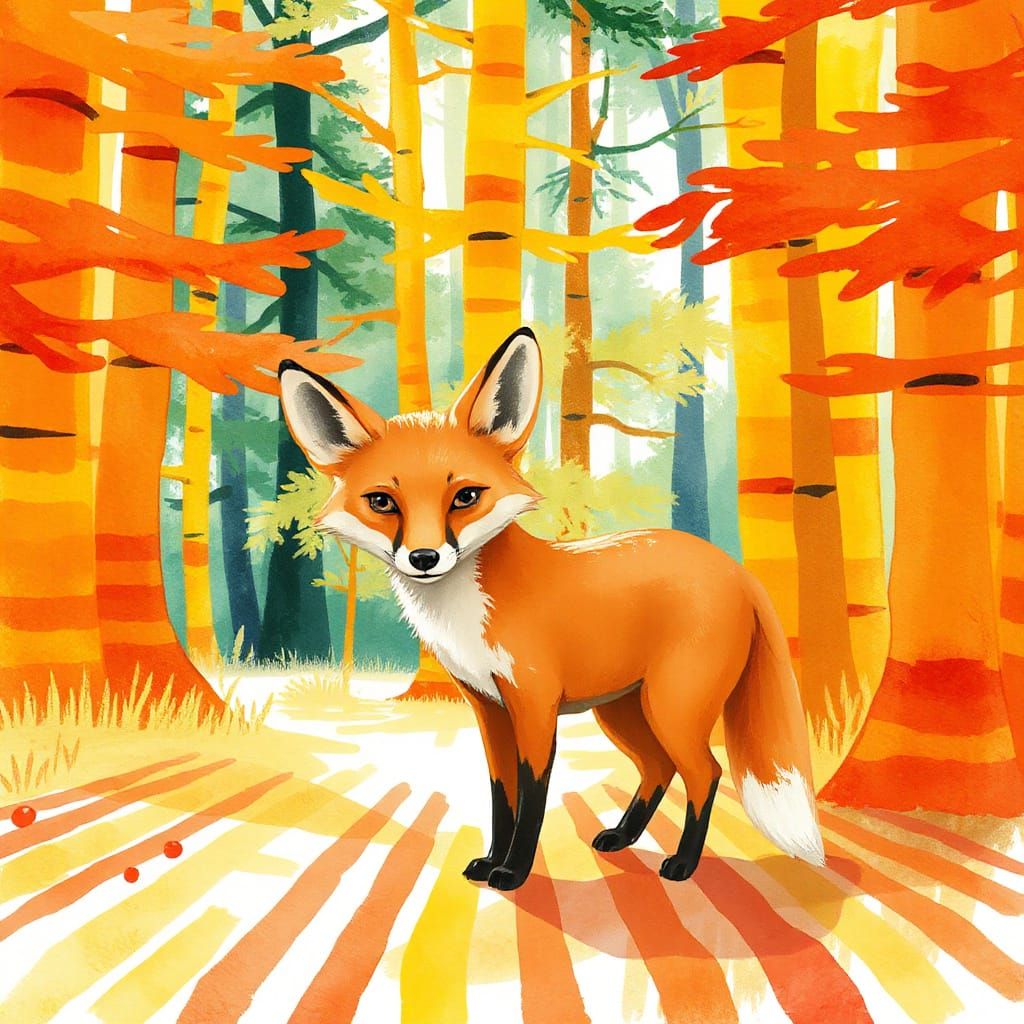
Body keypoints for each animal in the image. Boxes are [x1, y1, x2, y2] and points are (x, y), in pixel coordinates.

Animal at [278, 327, 825, 892]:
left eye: (465, 497)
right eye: (383, 503)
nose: (424, 558)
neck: (468, 614)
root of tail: (736, 570)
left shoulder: (534, 704)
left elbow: (533, 797)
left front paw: (513, 871)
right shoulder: (489, 708)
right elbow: (501, 796)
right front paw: (490, 860)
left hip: (671, 706)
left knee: (706, 773)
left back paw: (682, 863)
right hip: (624, 710)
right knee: (659, 768)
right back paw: (622, 836)